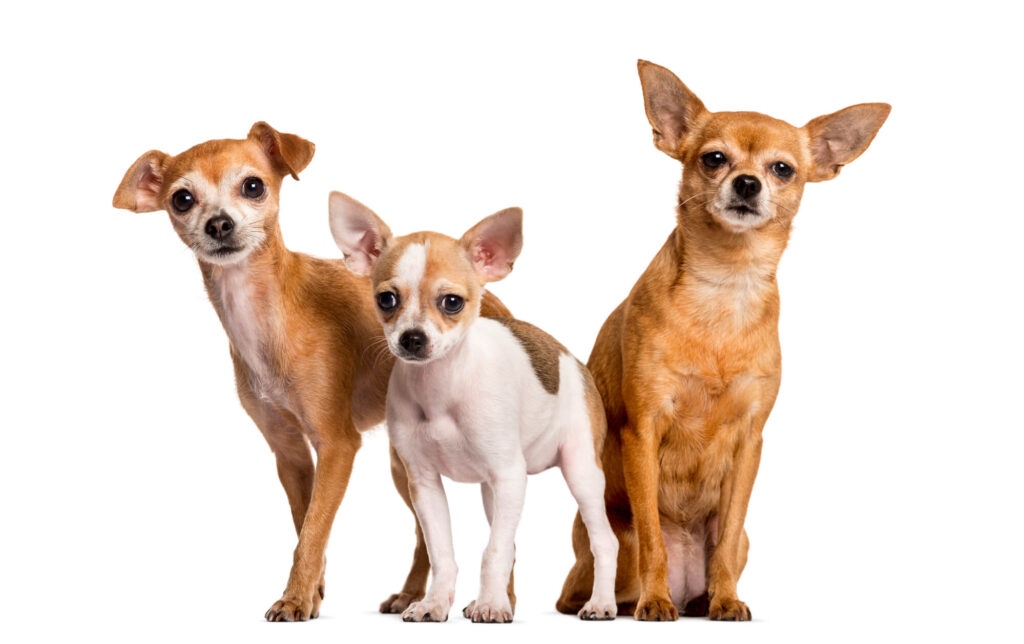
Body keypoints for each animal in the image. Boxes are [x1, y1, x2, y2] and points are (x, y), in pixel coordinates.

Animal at [329, 192, 614, 622]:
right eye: (386, 299)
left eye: (452, 302)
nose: (412, 338)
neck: (441, 389)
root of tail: (571, 358)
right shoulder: (425, 483)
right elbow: (444, 552)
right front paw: (433, 603)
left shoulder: (510, 476)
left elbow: (492, 551)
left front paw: (493, 606)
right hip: (492, 493)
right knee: (510, 543)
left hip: (581, 472)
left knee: (604, 542)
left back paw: (600, 603)